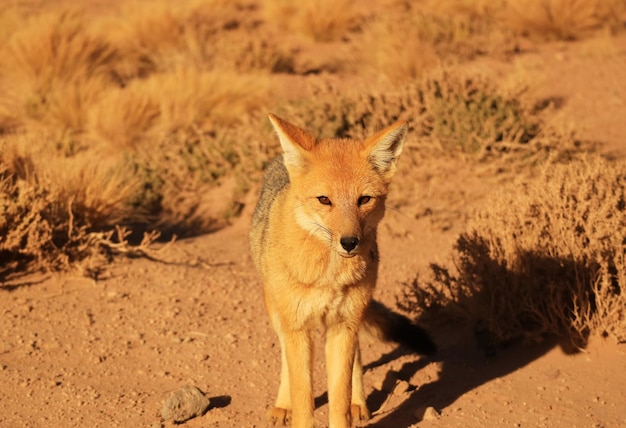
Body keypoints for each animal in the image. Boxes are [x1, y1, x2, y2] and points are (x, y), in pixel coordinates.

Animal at [249, 114, 434, 428]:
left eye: (364, 199)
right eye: (324, 199)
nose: (349, 242)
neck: (329, 276)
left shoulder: (343, 326)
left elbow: (340, 398)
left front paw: (350, 404)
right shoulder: (297, 327)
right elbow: (303, 400)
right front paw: (293, 408)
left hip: (352, 319)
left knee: (356, 358)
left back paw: (359, 402)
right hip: (278, 315)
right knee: (286, 359)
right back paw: (282, 405)